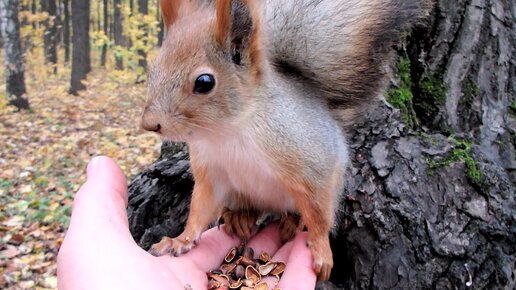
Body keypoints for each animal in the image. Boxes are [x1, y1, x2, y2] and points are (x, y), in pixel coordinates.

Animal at [140, 0, 428, 280]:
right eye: (153, 69)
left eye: (204, 82)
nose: (150, 123)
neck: (228, 131)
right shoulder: (211, 171)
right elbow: (200, 209)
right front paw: (180, 240)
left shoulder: (311, 163)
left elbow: (319, 213)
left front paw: (322, 250)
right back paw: (239, 217)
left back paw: (292, 221)